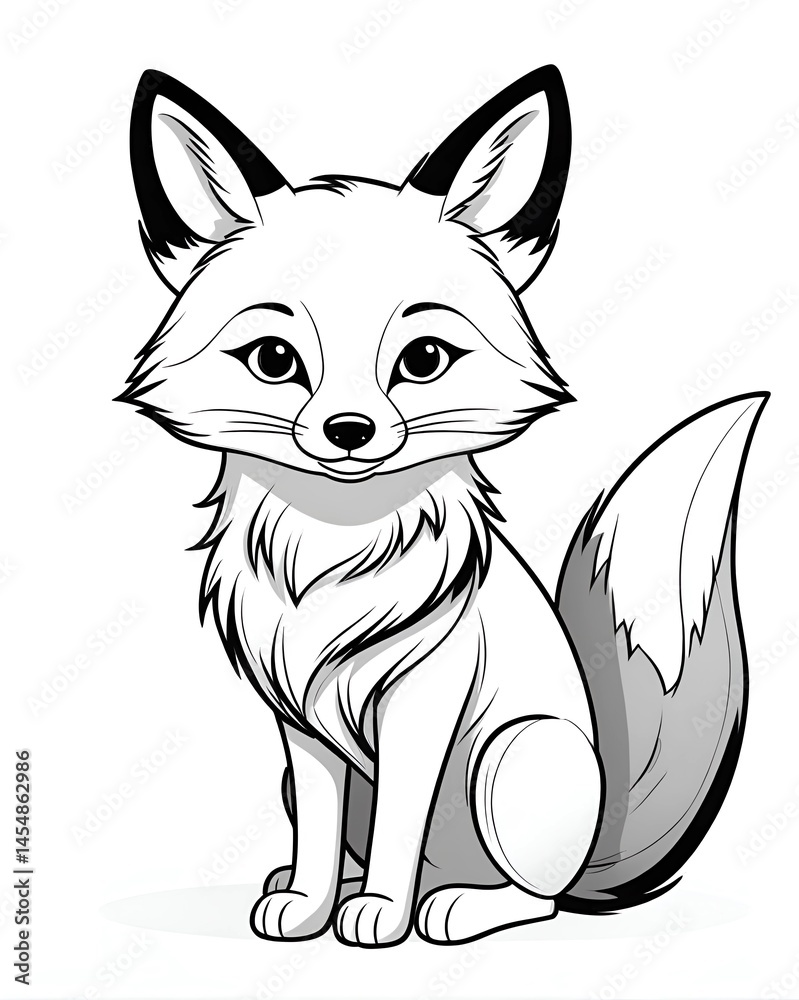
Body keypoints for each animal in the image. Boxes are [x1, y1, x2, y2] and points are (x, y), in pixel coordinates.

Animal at [120, 65, 767, 947]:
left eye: (423, 358)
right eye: (273, 360)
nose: (349, 431)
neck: (335, 553)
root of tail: (597, 847)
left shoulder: (423, 703)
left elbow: (401, 822)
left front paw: (379, 918)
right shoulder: (300, 727)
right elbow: (321, 828)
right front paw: (310, 905)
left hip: (514, 756)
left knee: (537, 896)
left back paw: (453, 908)